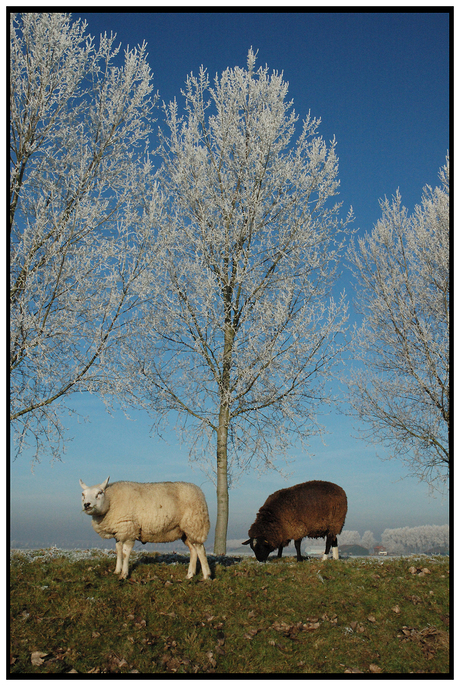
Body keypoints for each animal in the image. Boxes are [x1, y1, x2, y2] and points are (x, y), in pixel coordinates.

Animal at [79, 478, 212, 580]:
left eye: (99, 493)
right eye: (83, 495)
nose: (87, 504)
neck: (110, 501)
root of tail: (199, 490)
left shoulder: (129, 530)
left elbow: (125, 553)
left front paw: (124, 574)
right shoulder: (119, 532)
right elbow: (118, 551)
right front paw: (117, 570)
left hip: (195, 524)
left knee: (200, 549)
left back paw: (206, 576)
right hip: (185, 531)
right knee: (193, 550)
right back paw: (190, 575)